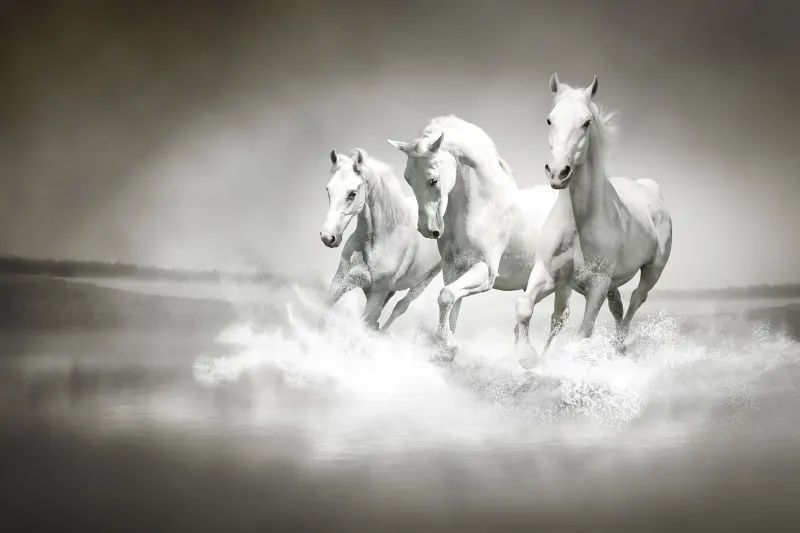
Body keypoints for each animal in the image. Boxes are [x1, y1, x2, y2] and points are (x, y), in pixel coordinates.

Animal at [320, 148, 442, 330]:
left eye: (352, 193)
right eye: (328, 190)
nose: (328, 237)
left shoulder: (377, 293)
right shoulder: (342, 280)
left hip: (424, 281)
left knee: (400, 307)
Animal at [388, 116, 561, 359]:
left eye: (433, 180)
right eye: (408, 179)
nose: (427, 229)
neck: (483, 207)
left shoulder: (485, 271)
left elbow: (445, 296)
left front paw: (449, 345)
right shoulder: (453, 270)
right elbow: (452, 304)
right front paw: (446, 349)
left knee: (560, 318)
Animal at [514, 74, 673, 367]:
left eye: (586, 122)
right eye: (550, 120)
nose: (558, 173)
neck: (579, 223)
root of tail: (650, 189)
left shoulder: (597, 285)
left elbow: (583, 333)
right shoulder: (548, 274)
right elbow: (525, 308)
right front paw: (528, 357)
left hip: (652, 270)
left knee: (636, 299)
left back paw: (619, 346)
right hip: (607, 284)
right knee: (613, 307)